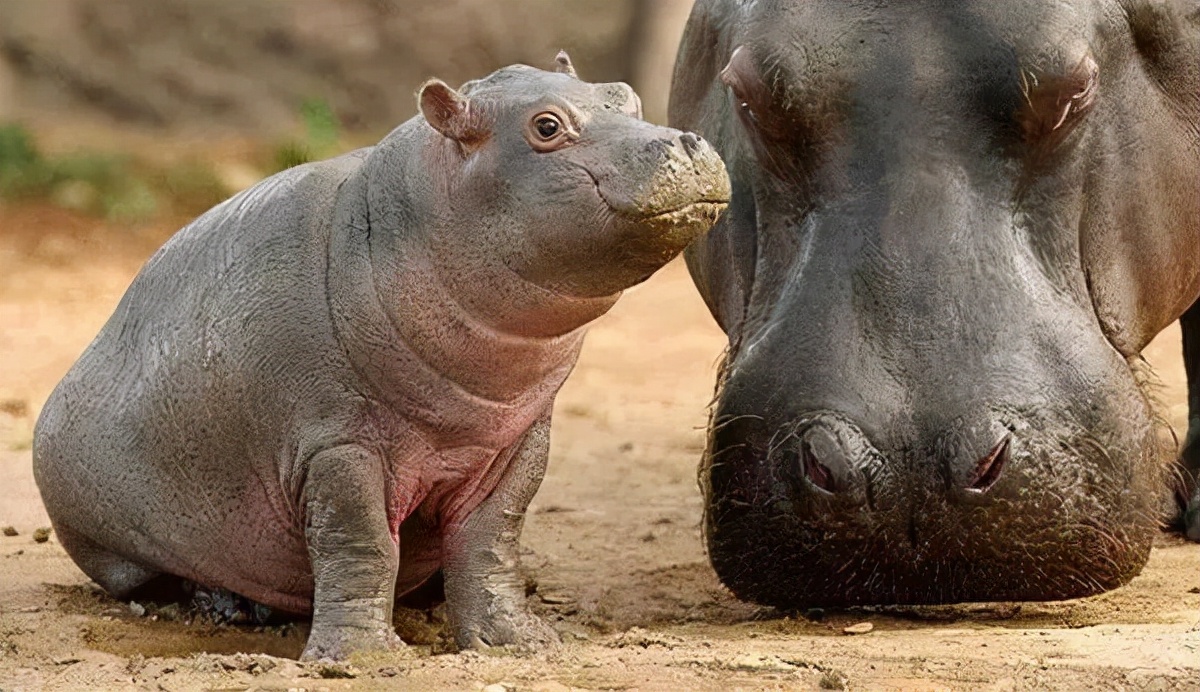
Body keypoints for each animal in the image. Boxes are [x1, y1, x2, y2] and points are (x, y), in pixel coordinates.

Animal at [32, 55, 729, 657]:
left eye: (627, 96)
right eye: (547, 126)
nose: (685, 144)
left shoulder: (517, 439)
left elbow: (493, 538)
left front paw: (519, 642)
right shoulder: (336, 443)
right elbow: (359, 542)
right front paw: (362, 657)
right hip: (113, 538)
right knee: (158, 578)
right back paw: (227, 606)